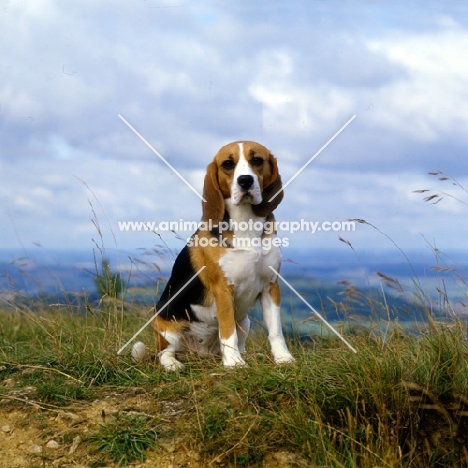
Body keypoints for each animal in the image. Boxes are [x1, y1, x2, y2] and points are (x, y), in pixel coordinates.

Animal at [132, 141, 294, 372]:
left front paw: (283, 359)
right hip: (165, 325)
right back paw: (174, 364)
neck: (246, 222)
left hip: (245, 321)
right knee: (164, 353)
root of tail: (201, 353)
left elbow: (275, 331)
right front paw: (235, 364)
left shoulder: (271, 286)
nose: (245, 180)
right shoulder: (223, 290)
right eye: (227, 164)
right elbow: (227, 331)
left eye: (257, 160)